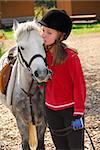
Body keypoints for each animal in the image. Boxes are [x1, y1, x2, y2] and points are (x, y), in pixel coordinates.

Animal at [0, 19, 51, 149]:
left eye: (43, 44)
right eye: (22, 48)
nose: (42, 73)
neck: (29, 91)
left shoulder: (42, 121)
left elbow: (40, 144)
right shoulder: (21, 122)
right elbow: (25, 143)